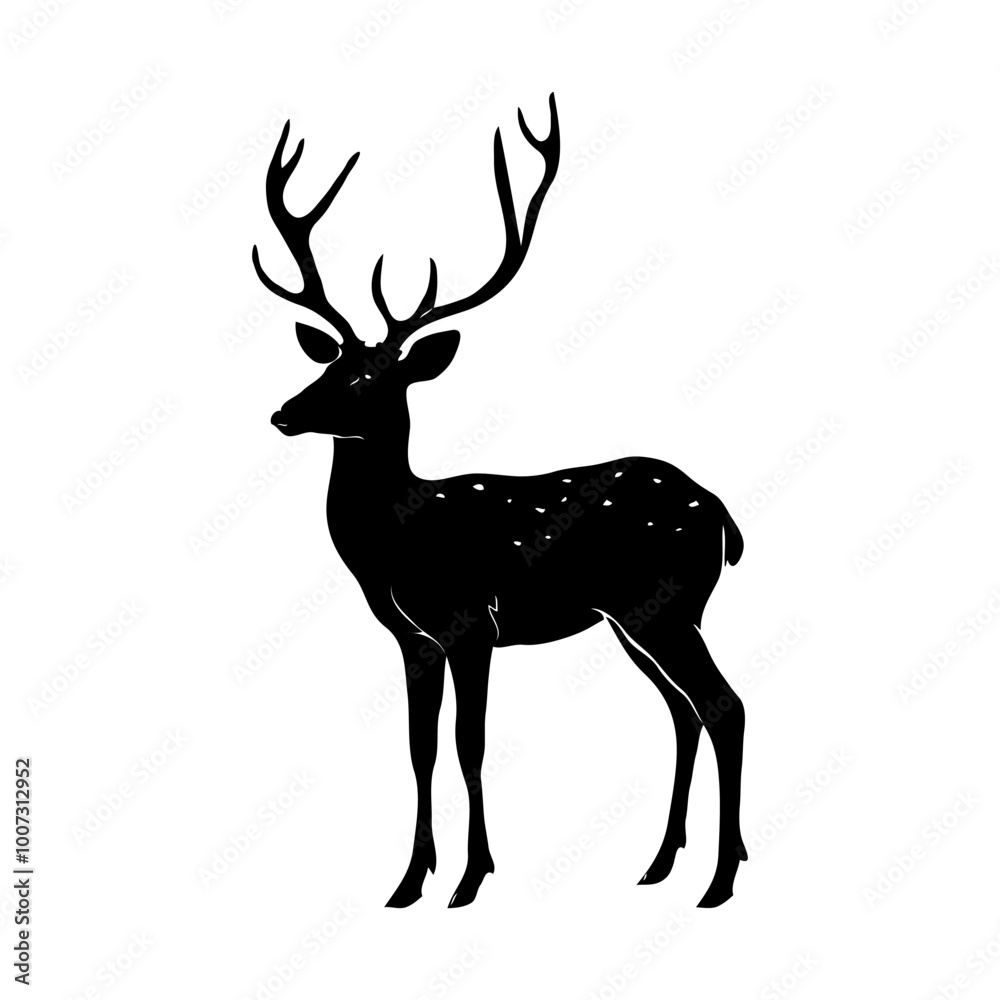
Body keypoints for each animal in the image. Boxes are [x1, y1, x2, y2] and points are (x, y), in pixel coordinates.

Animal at [252, 94, 748, 909]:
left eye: (374, 379)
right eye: (331, 365)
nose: (283, 413)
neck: (398, 546)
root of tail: (725, 517)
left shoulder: (469, 623)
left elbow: (469, 747)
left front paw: (470, 879)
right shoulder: (413, 640)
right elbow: (419, 750)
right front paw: (407, 883)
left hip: (669, 605)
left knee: (722, 706)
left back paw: (720, 881)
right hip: (636, 619)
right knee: (683, 710)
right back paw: (658, 864)